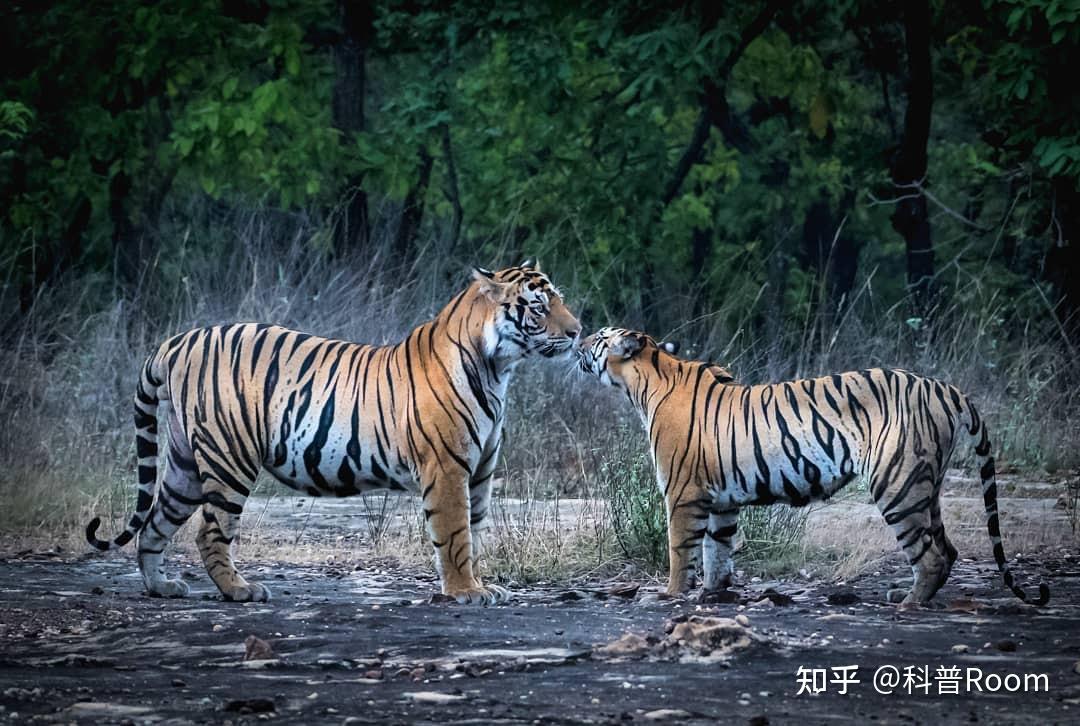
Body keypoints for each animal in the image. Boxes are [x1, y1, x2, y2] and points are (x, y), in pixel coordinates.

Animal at [89, 263, 583, 605]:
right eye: (540, 306)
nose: (578, 332)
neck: (497, 368)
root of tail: (177, 342)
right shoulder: (447, 469)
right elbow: (456, 534)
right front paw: (466, 591)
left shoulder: (479, 471)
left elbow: (475, 531)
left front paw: (478, 585)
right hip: (229, 457)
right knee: (210, 532)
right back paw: (241, 590)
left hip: (184, 466)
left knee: (154, 523)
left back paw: (161, 587)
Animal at [578, 326, 1049, 605]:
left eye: (598, 337)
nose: (578, 339)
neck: (645, 380)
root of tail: (945, 388)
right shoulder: (721, 499)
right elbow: (718, 549)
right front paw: (713, 593)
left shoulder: (682, 493)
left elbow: (681, 550)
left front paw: (670, 595)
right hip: (925, 485)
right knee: (946, 549)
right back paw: (911, 594)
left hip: (897, 484)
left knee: (931, 554)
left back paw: (908, 603)